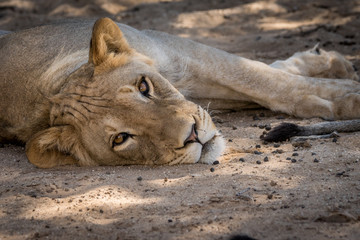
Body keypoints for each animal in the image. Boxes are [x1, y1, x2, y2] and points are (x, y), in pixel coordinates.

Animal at [0, 17, 358, 168]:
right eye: (121, 139)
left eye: (144, 87)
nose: (193, 135)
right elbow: (262, 81)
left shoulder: (176, 51)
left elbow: (259, 78)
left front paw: (345, 92)